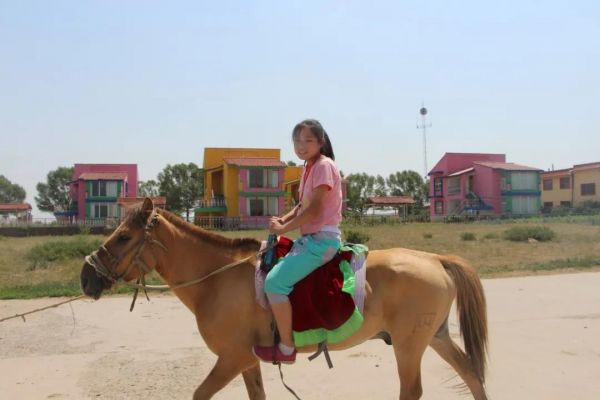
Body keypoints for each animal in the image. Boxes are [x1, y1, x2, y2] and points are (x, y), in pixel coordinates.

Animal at [80, 198, 488, 400]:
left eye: (122, 237)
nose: (86, 276)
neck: (218, 279)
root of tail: (435, 259)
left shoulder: (232, 358)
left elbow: (199, 395)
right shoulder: (247, 361)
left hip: (408, 346)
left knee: (413, 390)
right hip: (435, 337)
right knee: (471, 373)